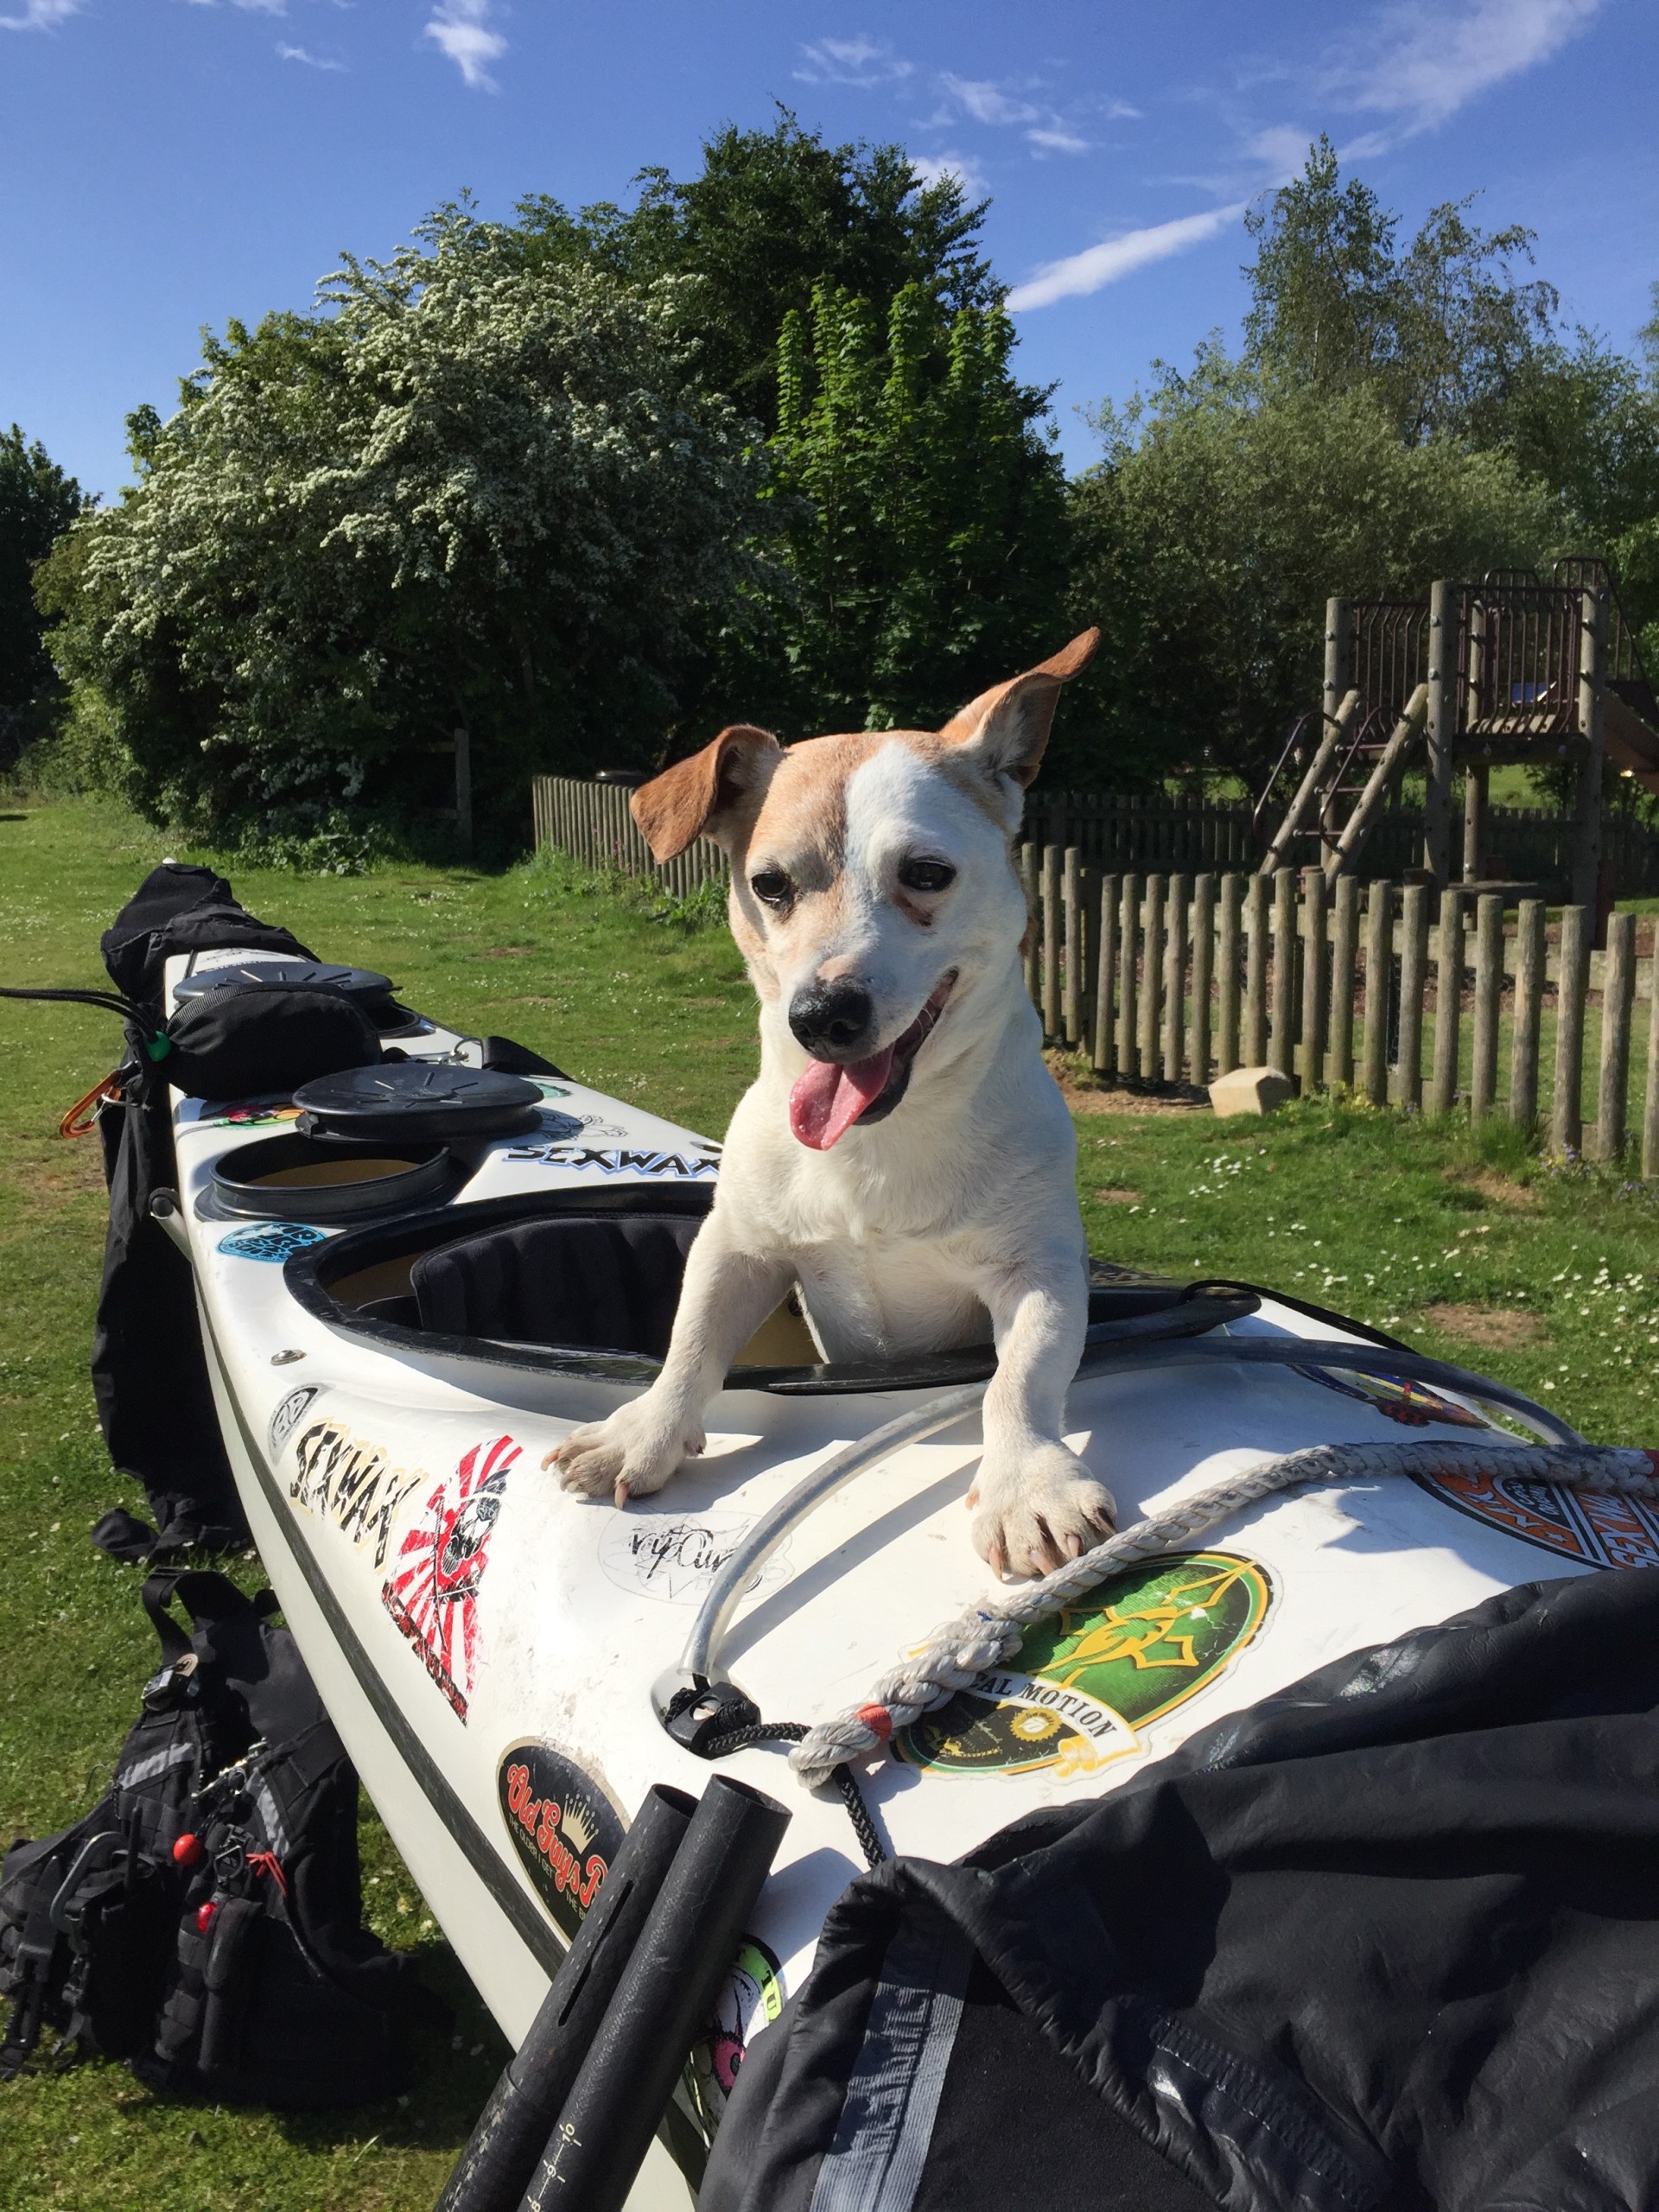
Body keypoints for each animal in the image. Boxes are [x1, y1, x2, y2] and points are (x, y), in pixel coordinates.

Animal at [548, 632, 1119, 1583]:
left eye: (926, 873)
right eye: (769, 883)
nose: (819, 1015)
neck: (877, 1148)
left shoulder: (1038, 1273)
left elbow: (1020, 1380)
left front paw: (1026, 1485)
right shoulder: (739, 1246)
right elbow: (692, 1341)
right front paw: (646, 1430)